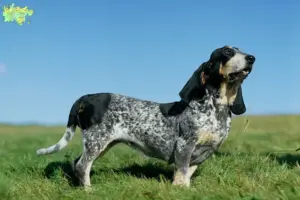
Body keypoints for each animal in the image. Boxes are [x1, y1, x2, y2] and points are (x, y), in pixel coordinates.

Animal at [35, 46, 255, 190]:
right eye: (227, 52)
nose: (252, 58)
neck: (216, 108)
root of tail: (86, 97)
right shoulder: (185, 146)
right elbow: (182, 174)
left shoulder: (202, 153)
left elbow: (185, 175)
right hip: (97, 142)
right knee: (82, 166)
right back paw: (89, 191)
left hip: (102, 144)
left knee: (77, 164)